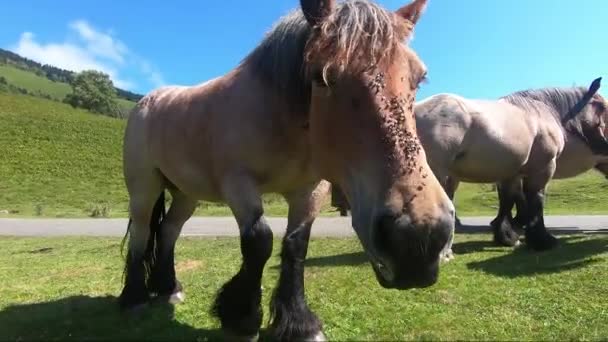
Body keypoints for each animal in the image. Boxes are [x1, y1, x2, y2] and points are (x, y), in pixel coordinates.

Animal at [117, 0, 456, 340]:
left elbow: (296, 245)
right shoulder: (238, 183)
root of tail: (149, 100)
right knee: (143, 231)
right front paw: (243, 317)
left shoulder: (310, 189)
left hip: (187, 193)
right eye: (321, 77)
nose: (418, 237)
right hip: (144, 187)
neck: (279, 116)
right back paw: (134, 297)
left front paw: (298, 322)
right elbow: (259, 242)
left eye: (420, 78)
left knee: (169, 230)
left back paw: (168, 287)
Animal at [416, 78, 604, 256]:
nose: (603, 144)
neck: (541, 113)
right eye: (602, 107)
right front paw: (542, 240)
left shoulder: (510, 174)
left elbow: (508, 201)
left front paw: (506, 237)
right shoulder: (542, 169)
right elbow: (536, 201)